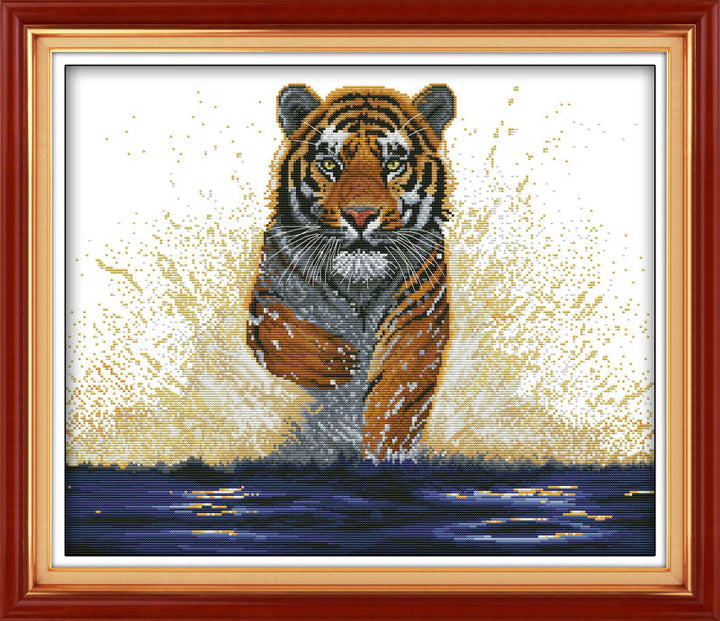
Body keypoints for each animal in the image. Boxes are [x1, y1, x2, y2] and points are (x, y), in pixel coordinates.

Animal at [246, 83, 455, 462]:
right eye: (330, 163)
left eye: (393, 164)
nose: (360, 215)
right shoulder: (268, 295)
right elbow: (279, 332)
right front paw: (340, 361)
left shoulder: (418, 320)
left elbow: (394, 400)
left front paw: (383, 459)